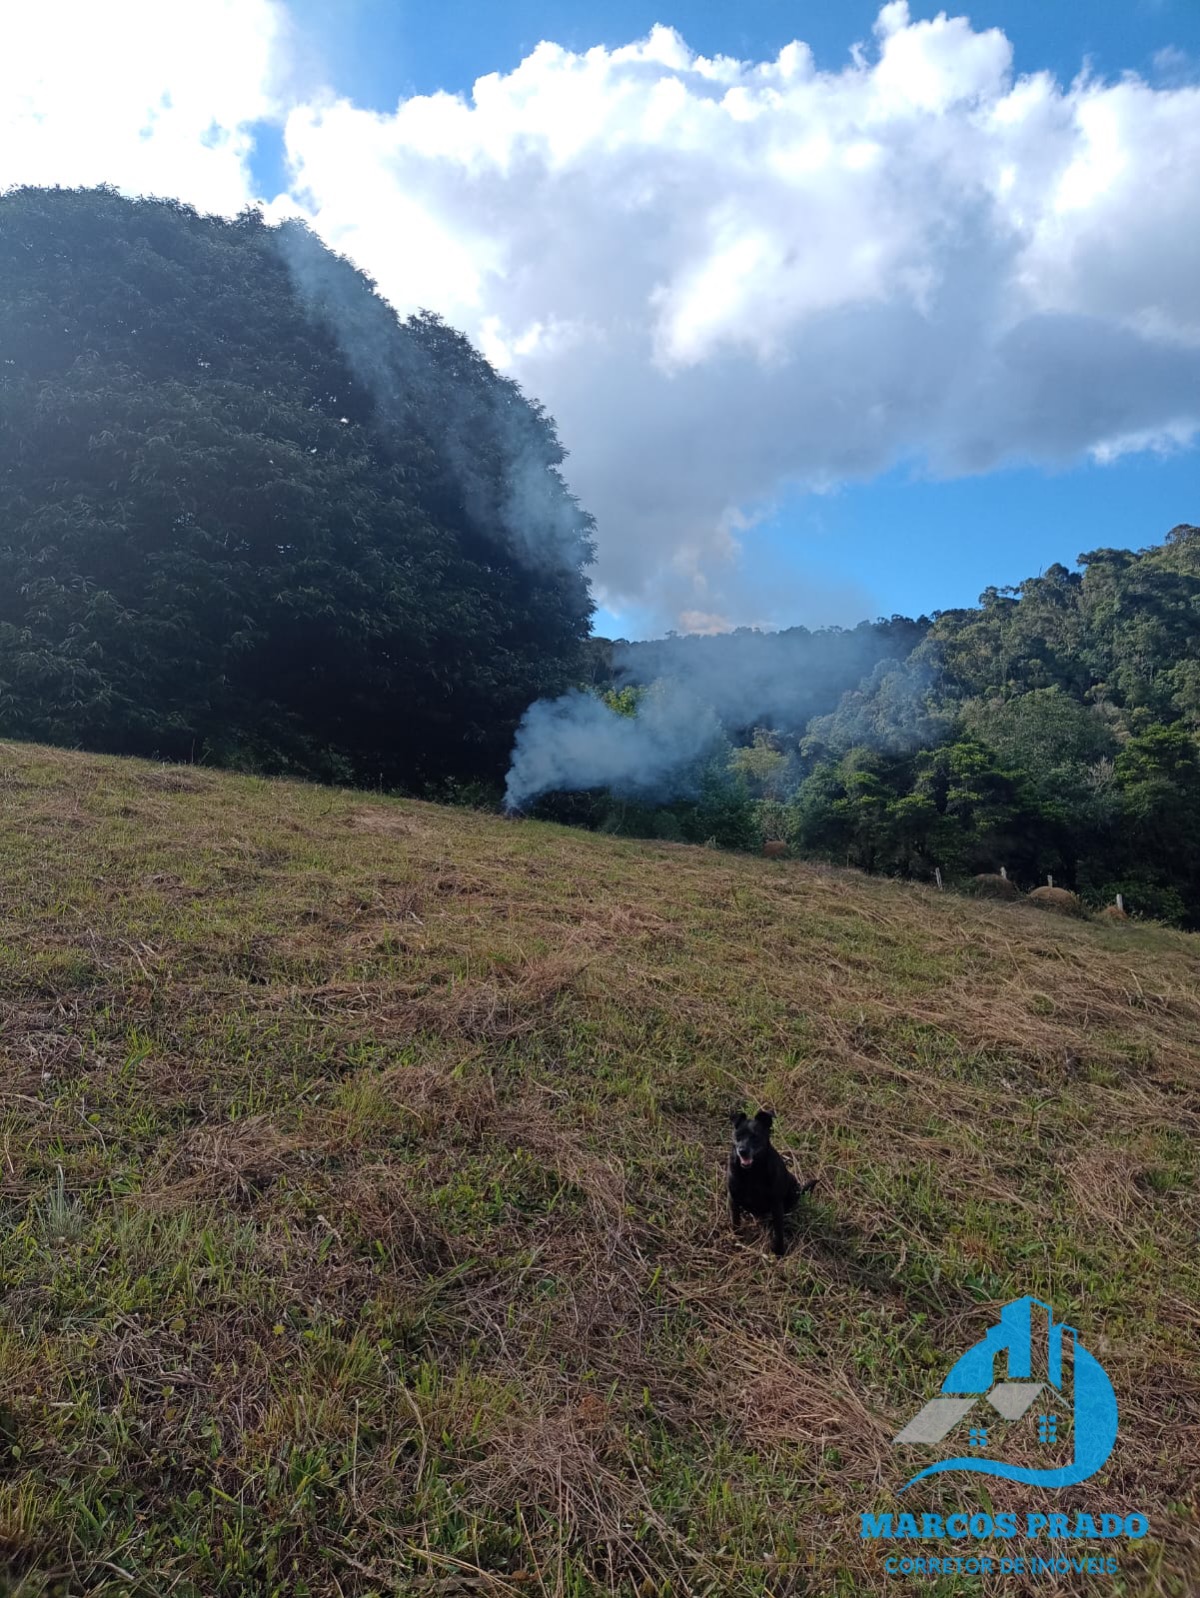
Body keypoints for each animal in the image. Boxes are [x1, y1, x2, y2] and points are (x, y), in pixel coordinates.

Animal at [728, 1105, 811, 1252]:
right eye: (738, 1136)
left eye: (755, 1137)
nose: (742, 1151)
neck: (752, 1172)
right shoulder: (733, 1198)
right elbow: (735, 1221)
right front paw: (737, 1239)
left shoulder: (776, 1204)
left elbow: (778, 1231)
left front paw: (779, 1251)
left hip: (793, 1186)